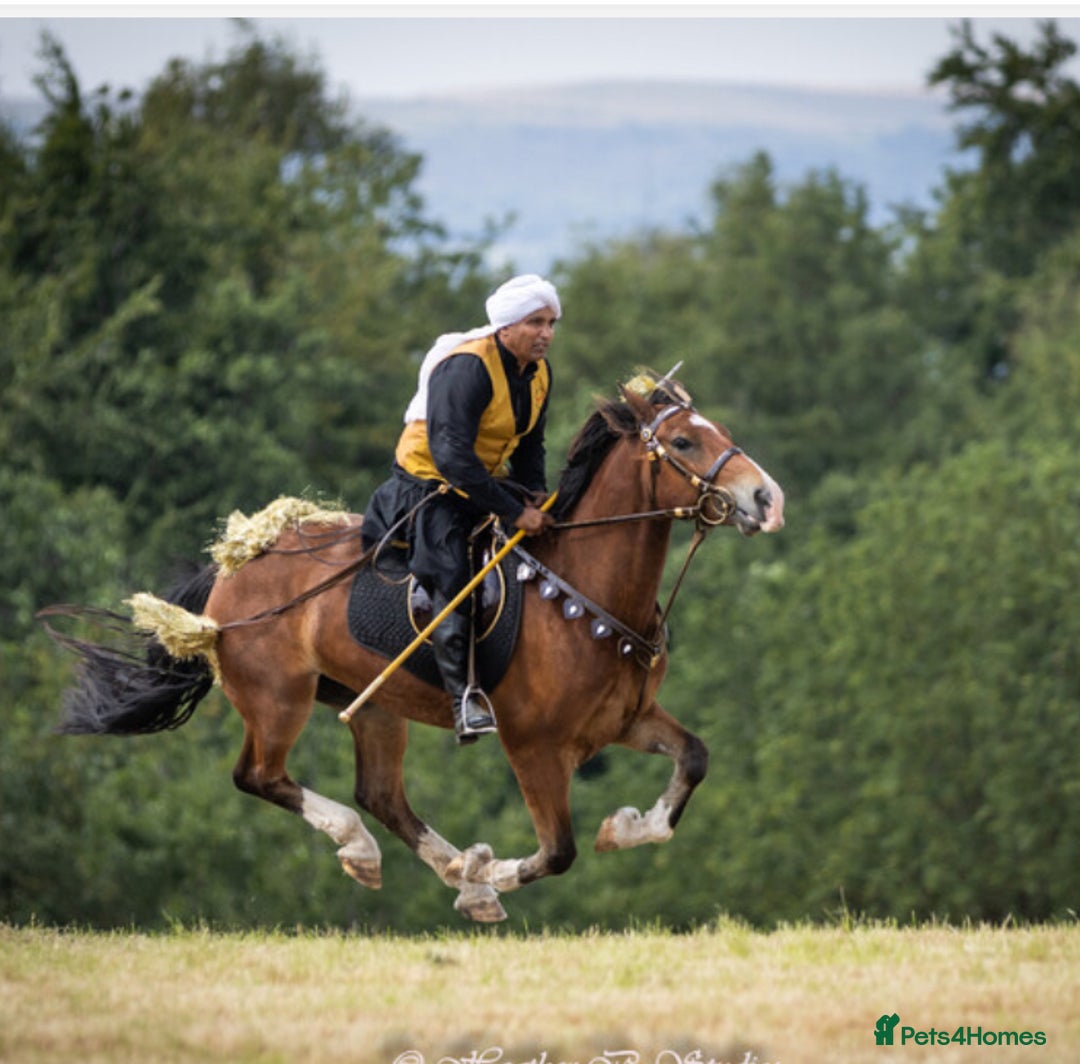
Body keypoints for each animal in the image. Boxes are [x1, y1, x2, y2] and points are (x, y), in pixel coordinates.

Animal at [42, 374, 784, 923]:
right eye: (685, 440)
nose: (766, 498)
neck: (585, 591)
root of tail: (233, 566)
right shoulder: (534, 747)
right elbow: (557, 852)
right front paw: (496, 870)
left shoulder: (626, 722)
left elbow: (691, 762)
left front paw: (622, 827)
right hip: (278, 699)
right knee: (260, 776)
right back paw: (374, 849)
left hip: (374, 706)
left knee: (381, 795)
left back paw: (452, 869)